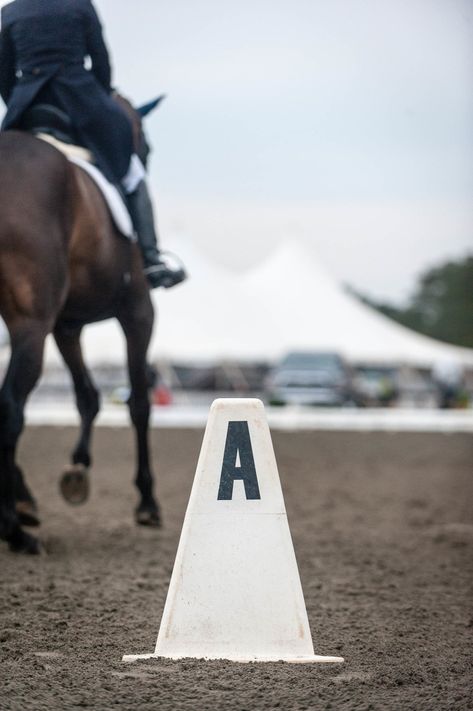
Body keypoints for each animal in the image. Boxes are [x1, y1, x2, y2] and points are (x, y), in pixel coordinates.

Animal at [0, 98, 160, 556]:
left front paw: (76, 471)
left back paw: (20, 508)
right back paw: (15, 532)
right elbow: (139, 403)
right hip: (31, 325)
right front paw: (147, 501)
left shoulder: (66, 325)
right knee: (10, 408)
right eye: (146, 147)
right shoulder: (139, 313)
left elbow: (88, 395)